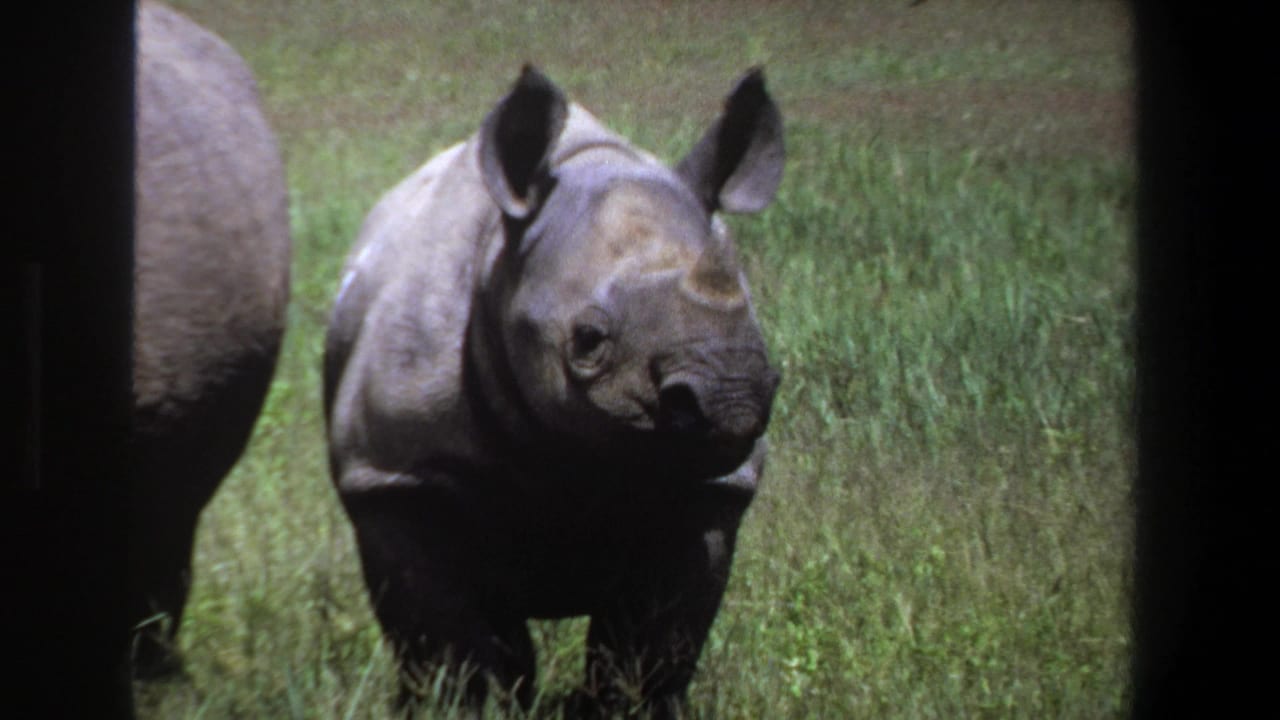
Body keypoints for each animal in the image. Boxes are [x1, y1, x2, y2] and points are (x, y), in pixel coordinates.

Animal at [324, 66, 783, 716]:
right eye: (588, 341)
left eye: (752, 316)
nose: (729, 398)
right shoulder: (395, 476)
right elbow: (447, 644)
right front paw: (465, 707)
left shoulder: (709, 487)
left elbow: (653, 646)